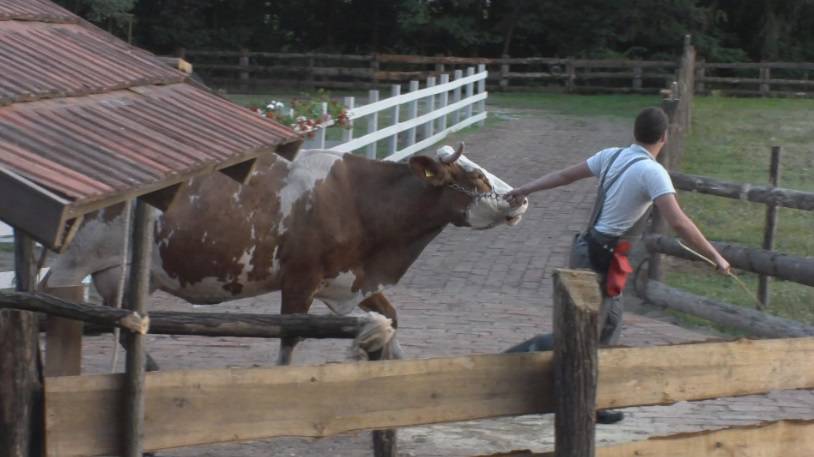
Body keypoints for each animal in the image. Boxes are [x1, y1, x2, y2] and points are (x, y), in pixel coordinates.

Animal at [43, 142, 528, 364]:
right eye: (474, 177)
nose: (520, 196)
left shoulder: (349, 281)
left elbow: (391, 319)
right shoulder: (300, 279)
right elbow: (290, 337)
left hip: (125, 273)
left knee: (122, 326)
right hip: (74, 263)